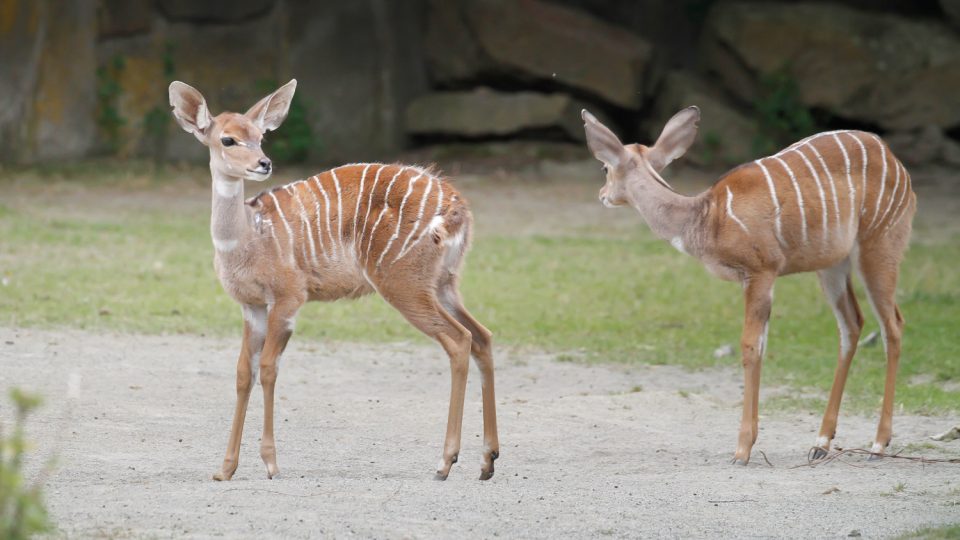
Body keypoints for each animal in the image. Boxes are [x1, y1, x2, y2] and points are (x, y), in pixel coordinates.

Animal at [169, 79, 498, 480]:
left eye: (261, 137)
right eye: (228, 139)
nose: (264, 163)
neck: (246, 239)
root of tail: (456, 207)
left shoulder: (289, 297)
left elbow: (268, 368)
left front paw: (271, 464)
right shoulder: (252, 305)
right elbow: (243, 372)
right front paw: (225, 469)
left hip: (403, 282)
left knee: (459, 340)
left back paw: (445, 462)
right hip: (444, 282)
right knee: (482, 335)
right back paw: (487, 460)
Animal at [580, 106, 920, 464]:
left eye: (605, 167)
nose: (602, 195)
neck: (707, 219)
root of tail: (897, 163)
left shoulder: (761, 271)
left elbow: (749, 346)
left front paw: (741, 450)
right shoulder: (760, 280)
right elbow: (762, 346)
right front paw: (752, 442)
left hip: (880, 245)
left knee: (893, 325)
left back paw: (878, 445)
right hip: (831, 264)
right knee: (853, 324)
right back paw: (820, 443)